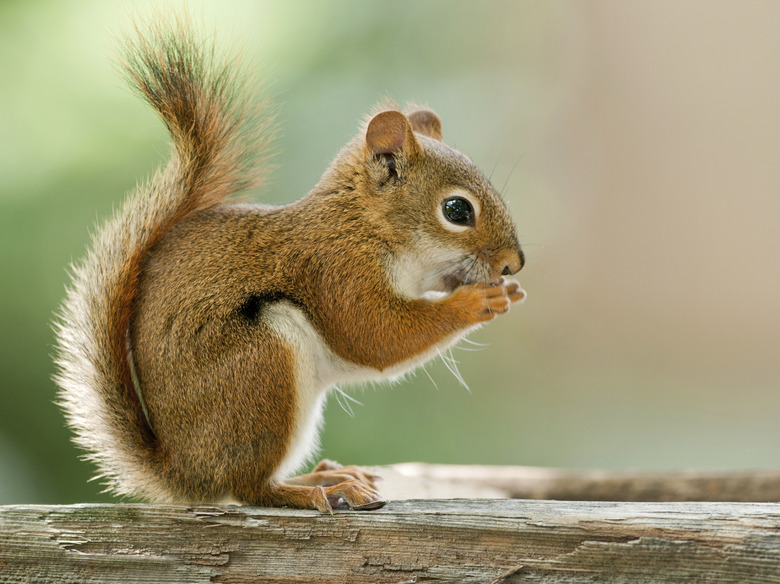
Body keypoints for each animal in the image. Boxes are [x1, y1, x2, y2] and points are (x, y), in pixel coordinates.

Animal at [53, 17, 524, 512]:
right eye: (457, 210)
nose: (514, 264)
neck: (364, 224)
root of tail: (187, 472)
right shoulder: (336, 270)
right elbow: (374, 335)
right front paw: (475, 301)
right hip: (262, 364)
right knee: (250, 489)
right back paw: (322, 491)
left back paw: (331, 476)